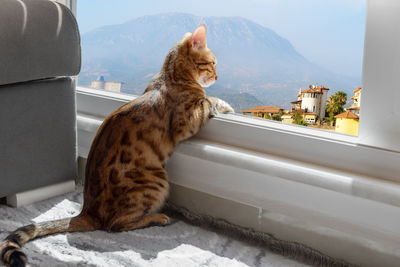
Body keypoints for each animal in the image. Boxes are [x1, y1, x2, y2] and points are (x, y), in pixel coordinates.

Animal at [0, 25, 233, 267]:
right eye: (213, 63)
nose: (218, 76)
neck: (170, 76)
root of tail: (87, 211)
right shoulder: (187, 120)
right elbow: (209, 101)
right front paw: (226, 105)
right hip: (157, 180)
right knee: (115, 225)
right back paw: (157, 217)